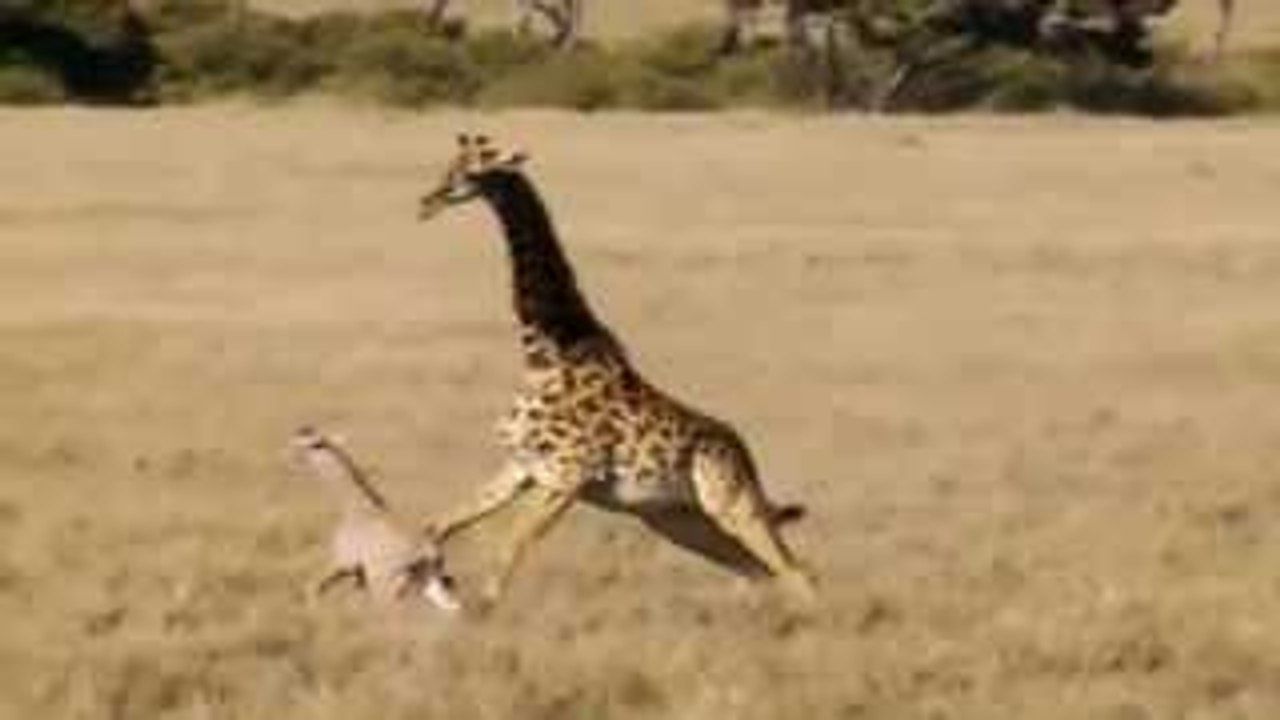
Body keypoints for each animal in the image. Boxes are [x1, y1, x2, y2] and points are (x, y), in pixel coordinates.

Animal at [290, 427, 461, 612]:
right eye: (297, 440)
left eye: (315, 444)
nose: (293, 457)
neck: (355, 507)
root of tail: (428, 551)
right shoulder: (358, 573)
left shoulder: (344, 562)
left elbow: (313, 587)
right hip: (425, 580)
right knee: (452, 606)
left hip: (385, 582)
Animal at [416, 135, 817, 607]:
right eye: (451, 164)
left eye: (475, 170)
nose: (428, 201)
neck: (546, 352)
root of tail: (744, 452)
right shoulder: (521, 467)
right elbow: (436, 526)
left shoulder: (568, 476)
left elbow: (508, 549)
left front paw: (475, 612)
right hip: (675, 518)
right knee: (757, 570)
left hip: (732, 503)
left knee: (797, 571)